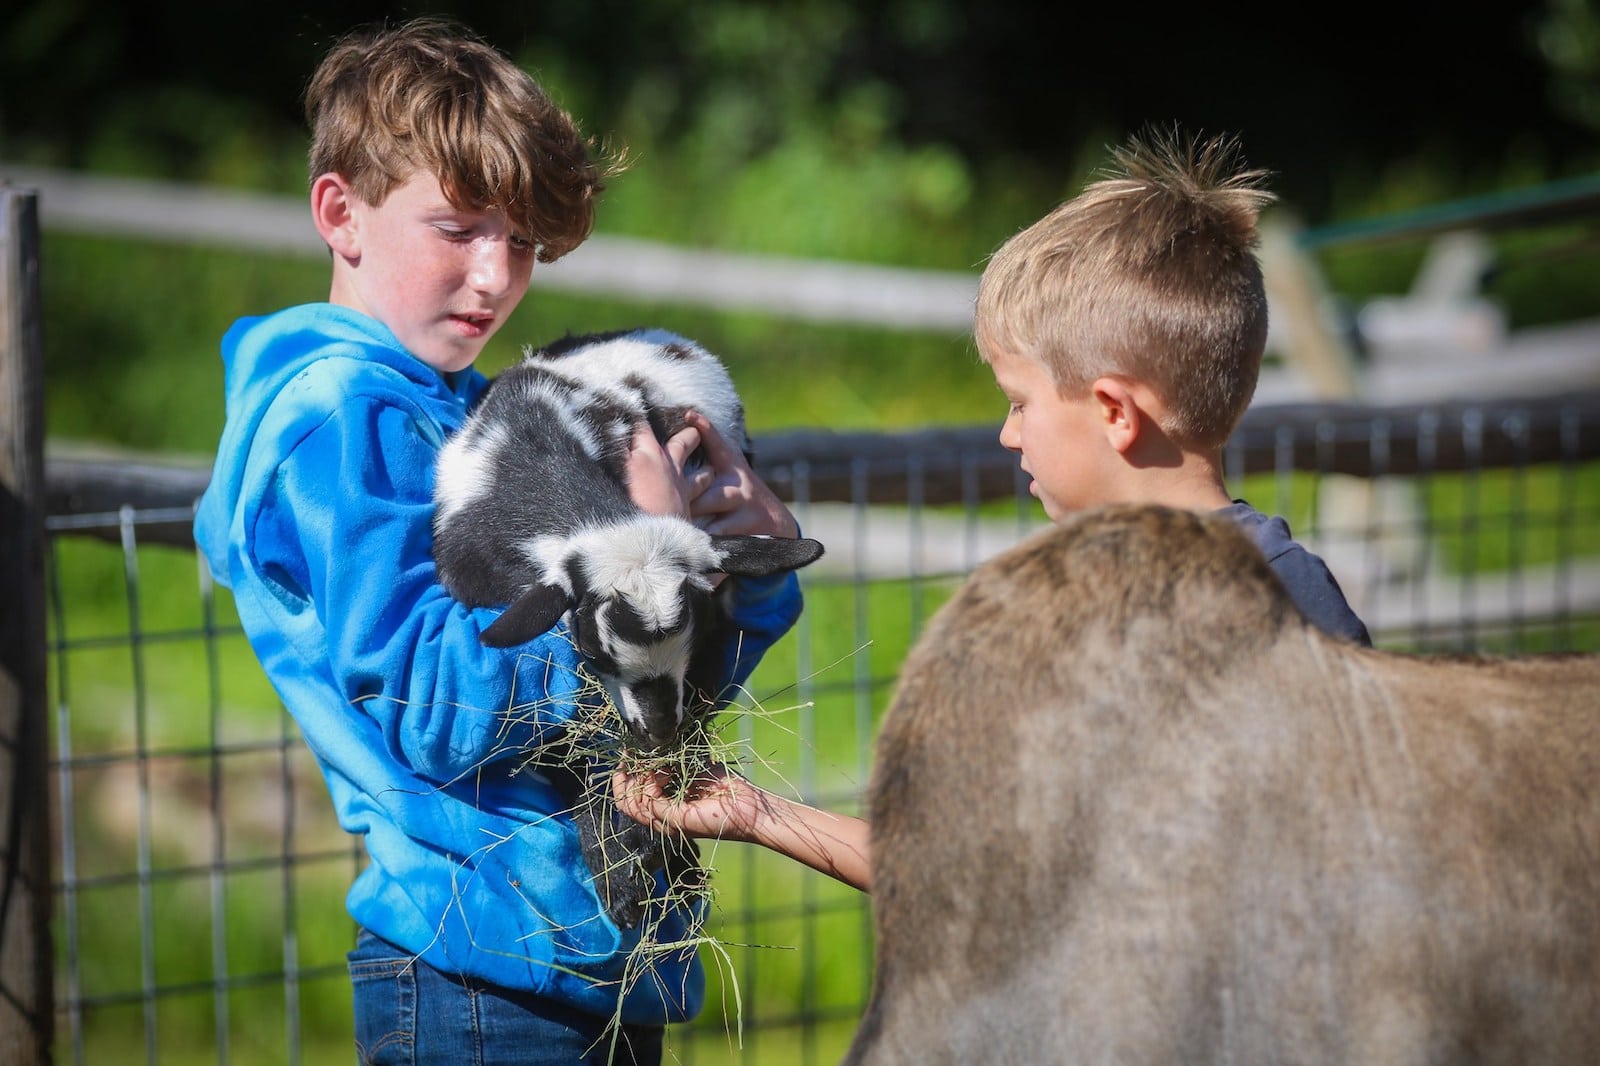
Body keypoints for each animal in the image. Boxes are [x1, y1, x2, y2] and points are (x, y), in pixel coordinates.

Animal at [428, 328, 819, 928]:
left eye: (692, 638)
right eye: (596, 652)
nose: (657, 730)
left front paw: (653, 842)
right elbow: (564, 752)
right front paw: (619, 878)